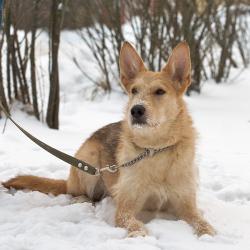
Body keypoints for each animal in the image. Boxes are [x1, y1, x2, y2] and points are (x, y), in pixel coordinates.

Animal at [2, 41, 215, 236]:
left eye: (160, 91)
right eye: (134, 91)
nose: (136, 110)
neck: (155, 149)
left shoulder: (185, 204)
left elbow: (200, 221)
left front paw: (208, 232)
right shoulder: (126, 206)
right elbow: (132, 222)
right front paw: (140, 233)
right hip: (89, 161)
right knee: (78, 192)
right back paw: (81, 199)